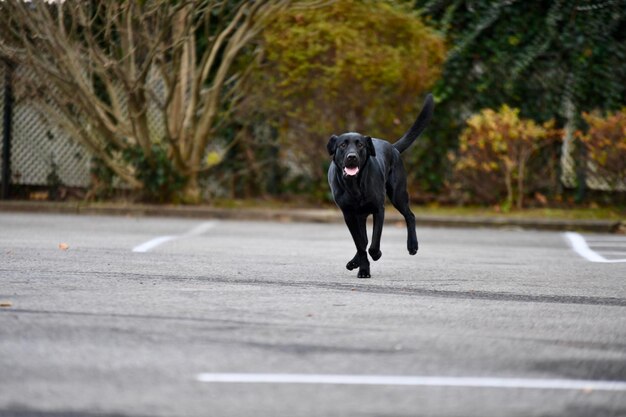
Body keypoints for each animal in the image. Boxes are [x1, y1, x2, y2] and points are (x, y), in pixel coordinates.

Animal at [326, 94, 434, 276]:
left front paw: (376, 255)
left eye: (360, 145)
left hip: (398, 194)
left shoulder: (379, 209)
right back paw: (354, 262)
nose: (352, 157)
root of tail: (393, 147)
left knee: (410, 216)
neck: (355, 185)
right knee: (363, 240)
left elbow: (374, 242)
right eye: (343, 145)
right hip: (361, 215)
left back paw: (412, 245)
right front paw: (363, 269)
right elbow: (360, 244)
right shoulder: (349, 215)